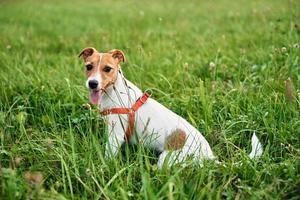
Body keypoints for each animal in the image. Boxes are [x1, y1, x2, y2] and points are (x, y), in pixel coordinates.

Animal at [78, 47, 264, 168]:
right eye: (89, 66)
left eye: (107, 69)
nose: (92, 83)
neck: (115, 91)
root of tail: (209, 156)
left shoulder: (115, 135)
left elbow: (108, 154)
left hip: (167, 159)